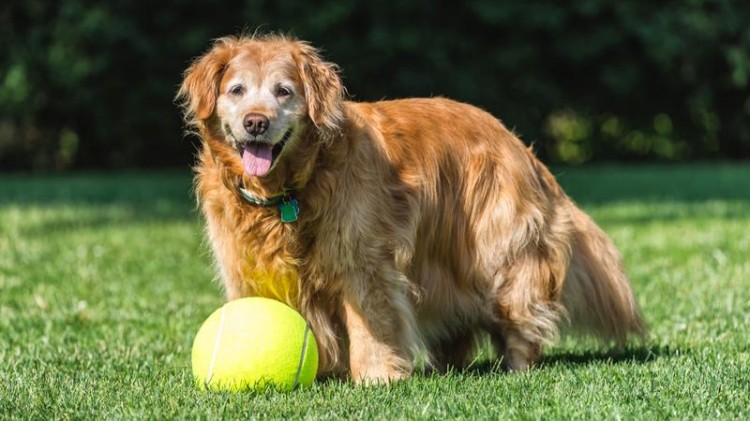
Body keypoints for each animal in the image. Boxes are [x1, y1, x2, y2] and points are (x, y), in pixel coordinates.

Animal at [178, 34, 648, 382]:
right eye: (236, 90)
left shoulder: (363, 258)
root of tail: (517, 142)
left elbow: (368, 318)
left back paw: (517, 364)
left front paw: (376, 375)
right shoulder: (249, 268)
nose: (256, 122)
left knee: (520, 311)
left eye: (283, 92)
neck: (288, 191)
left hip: (497, 252)